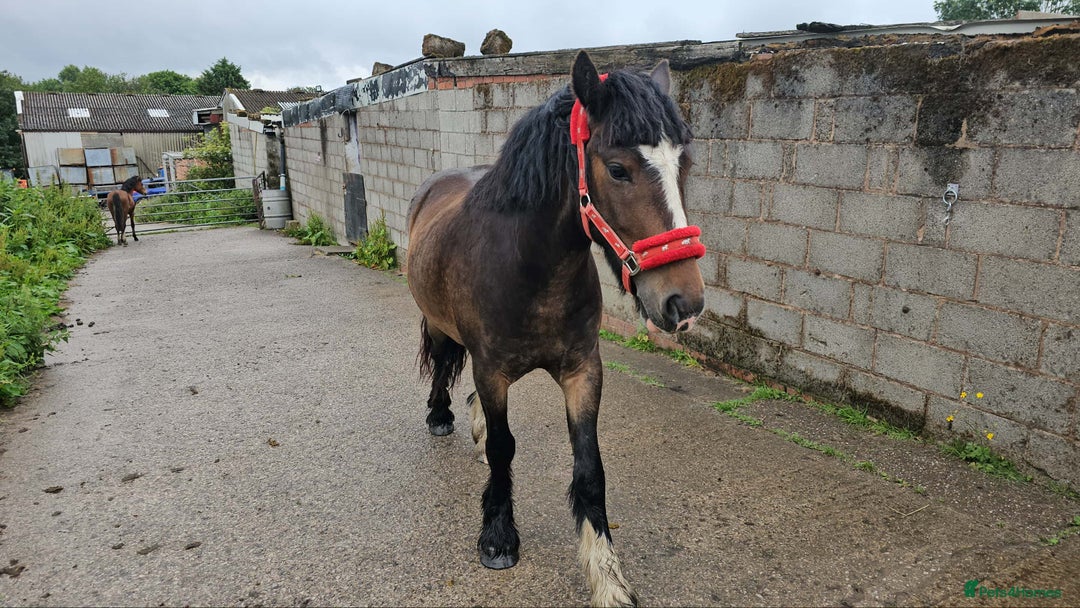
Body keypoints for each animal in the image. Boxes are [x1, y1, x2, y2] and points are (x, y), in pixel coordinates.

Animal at [406, 51, 706, 607]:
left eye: (684, 164)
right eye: (618, 169)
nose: (685, 302)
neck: (530, 269)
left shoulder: (582, 371)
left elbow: (589, 469)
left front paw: (607, 576)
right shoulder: (492, 371)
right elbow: (504, 449)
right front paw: (498, 537)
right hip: (438, 326)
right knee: (440, 363)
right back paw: (441, 415)